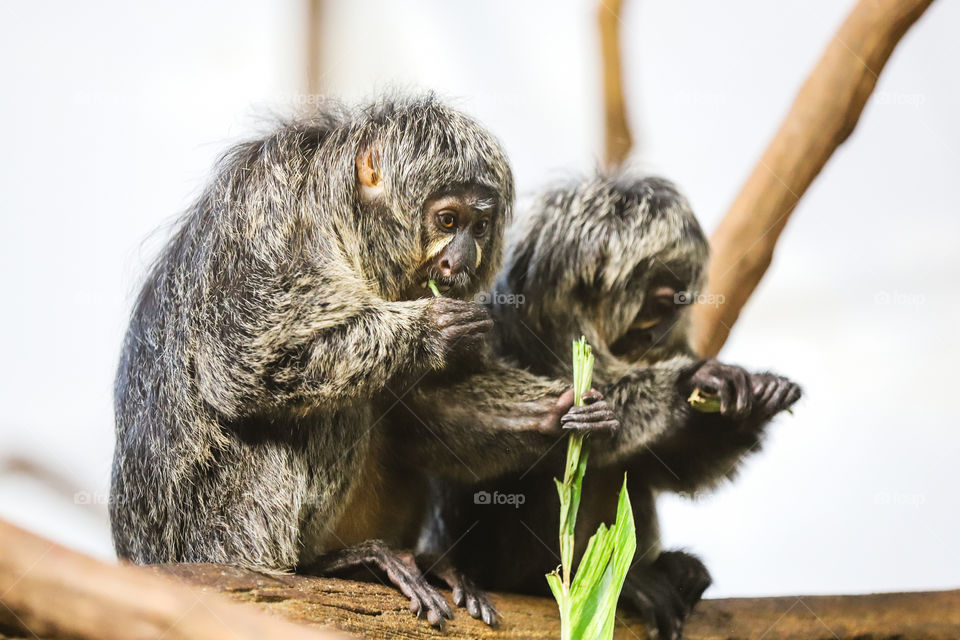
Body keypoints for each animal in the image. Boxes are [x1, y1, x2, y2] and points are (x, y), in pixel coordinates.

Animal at [110, 95, 616, 632]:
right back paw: (331, 563)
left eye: (479, 228)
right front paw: (430, 330)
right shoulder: (272, 214)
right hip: (214, 536)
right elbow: (241, 366)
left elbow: (422, 415)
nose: (460, 261)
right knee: (328, 407)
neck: (346, 225)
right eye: (448, 221)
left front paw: (560, 415)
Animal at [412, 172, 804, 636]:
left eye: (679, 307)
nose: (660, 333)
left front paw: (756, 402)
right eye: (660, 302)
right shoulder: (531, 310)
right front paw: (692, 383)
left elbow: (665, 466)